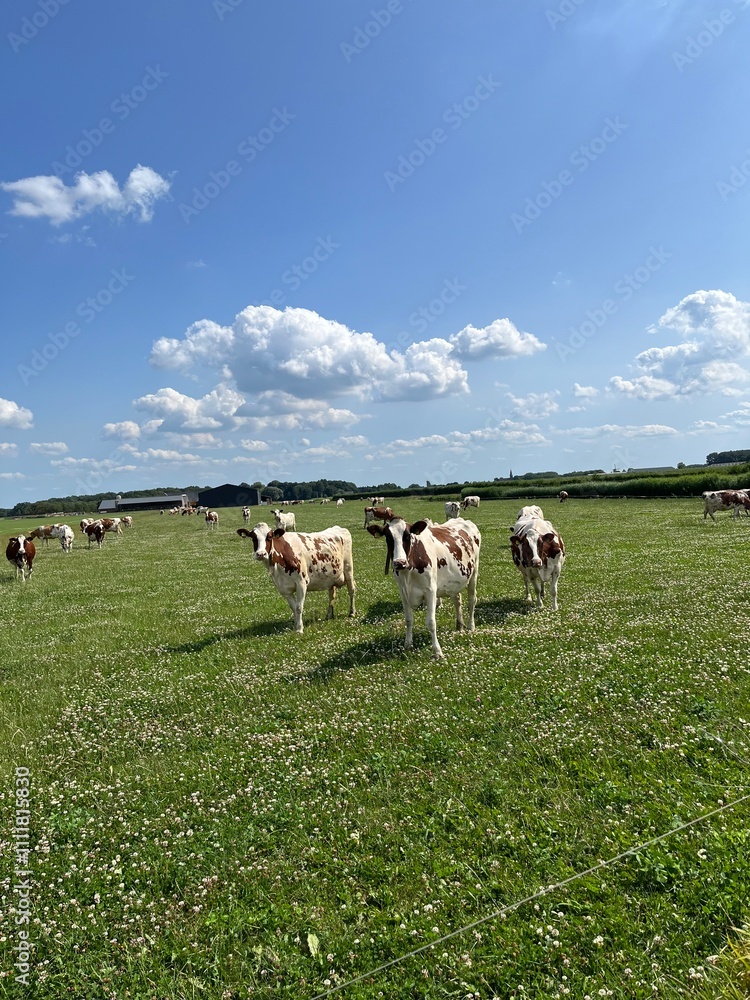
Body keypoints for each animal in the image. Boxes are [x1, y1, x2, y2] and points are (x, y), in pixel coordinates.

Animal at [367, 517, 481, 660]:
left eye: (408, 536)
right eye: (388, 537)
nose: (399, 563)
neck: (408, 572)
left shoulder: (430, 591)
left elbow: (431, 622)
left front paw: (437, 651)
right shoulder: (403, 592)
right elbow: (408, 619)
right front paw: (408, 644)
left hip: (474, 572)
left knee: (472, 600)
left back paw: (471, 626)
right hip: (454, 581)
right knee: (457, 600)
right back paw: (459, 624)